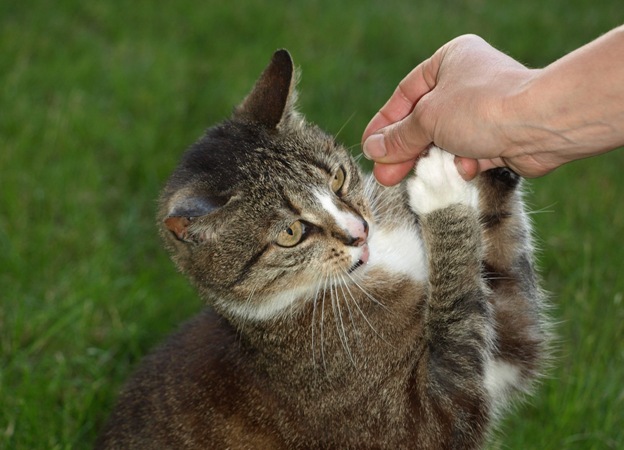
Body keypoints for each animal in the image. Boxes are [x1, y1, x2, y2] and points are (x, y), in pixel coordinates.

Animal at [95, 49, 548, 450]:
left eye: (337, 179)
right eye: (291, 232)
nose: (358, 232)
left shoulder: (505, 358)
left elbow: (510, 294)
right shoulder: (428, 417)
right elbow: (458, 316)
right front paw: (440, 189)